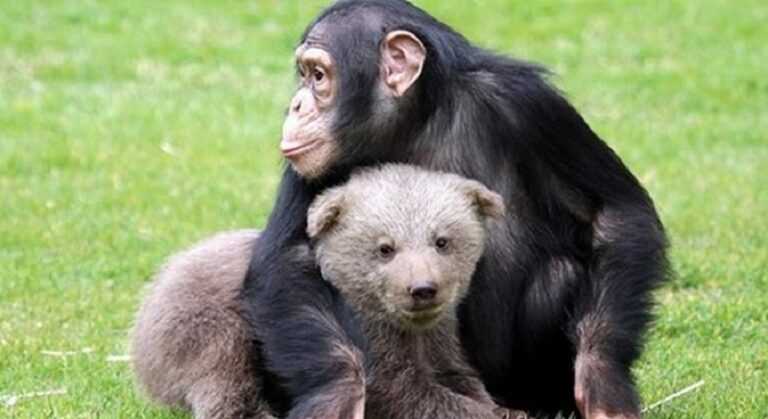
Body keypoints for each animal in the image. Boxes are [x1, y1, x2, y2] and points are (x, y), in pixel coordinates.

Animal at [132, 0, 664, 419]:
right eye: (304, 76)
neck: (417, 120)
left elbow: (615, 215)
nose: (297, 104)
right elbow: (289, 257)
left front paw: (602, 380)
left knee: (559, 273)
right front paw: (338, 393)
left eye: (318, 76)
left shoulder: (533, 107)